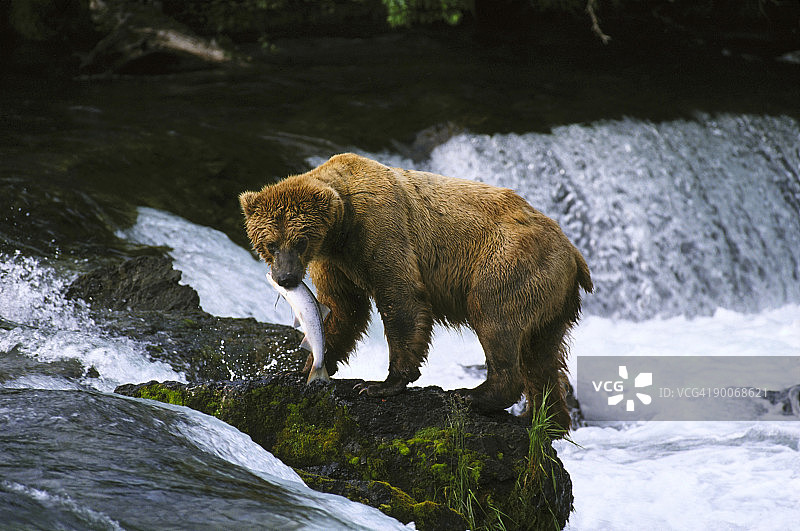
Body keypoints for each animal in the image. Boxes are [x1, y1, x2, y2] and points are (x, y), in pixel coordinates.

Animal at [239, 153, 592, 432]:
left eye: (299, 241)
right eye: (270, 243)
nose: (285, 278)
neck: (341, 227)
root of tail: (574, 253)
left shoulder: (380, 228)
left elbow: (401, 298)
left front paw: (379, 384)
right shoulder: (334, 260)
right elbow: (343, 308)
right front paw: (308, 365)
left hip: (507, 263)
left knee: (496, 320)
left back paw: (474, 394)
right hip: (550, 295)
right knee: (542, 355)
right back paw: (544, 419)